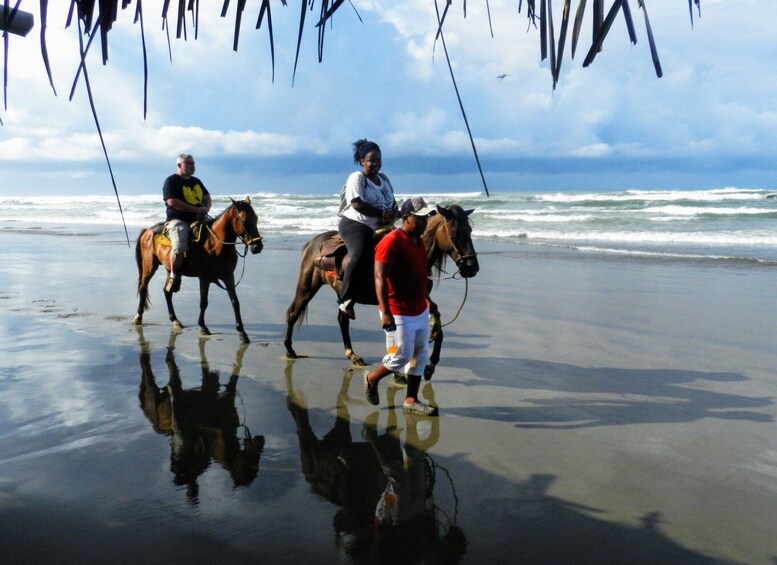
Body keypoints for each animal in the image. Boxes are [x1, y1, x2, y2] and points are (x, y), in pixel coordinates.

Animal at [133, 196, 264, 342]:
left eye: (256, 218)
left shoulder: (228, 276)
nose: (258, 247)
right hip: (149, 267)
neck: (215, 244)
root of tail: (147, 230)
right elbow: (203, 302)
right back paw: (138, 317)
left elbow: (235, 302)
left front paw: (242, 332)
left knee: (167, 291)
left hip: (169, 269)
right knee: (143, 288)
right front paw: (203, 326)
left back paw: (175, 320)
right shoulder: (204, 278)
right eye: (244, 220)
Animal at [284, 205, 478, 376]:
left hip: (344, 293)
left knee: (342, 319)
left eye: (469, 230)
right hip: (307, 286)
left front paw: (429, 365)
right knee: (293, 313)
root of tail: (313, 242)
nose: (471, 267)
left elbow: (436, 324)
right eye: (456, 232)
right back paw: (289, 350)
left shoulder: (419, 300)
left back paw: (352, 355)